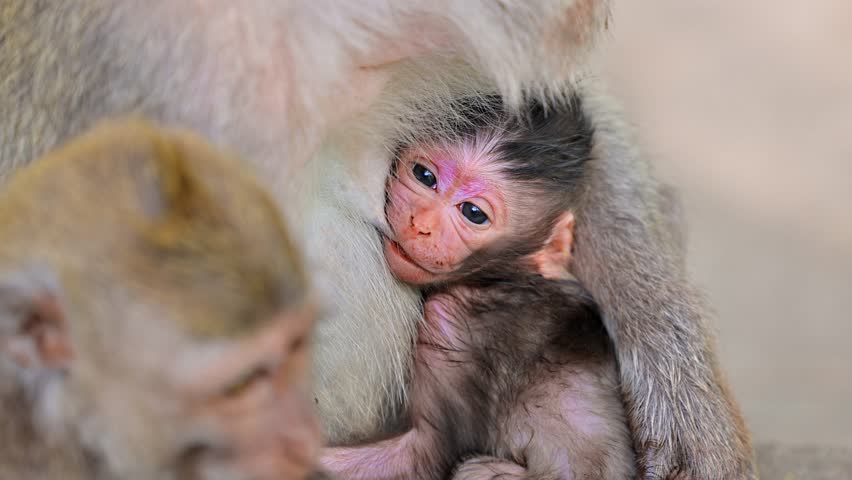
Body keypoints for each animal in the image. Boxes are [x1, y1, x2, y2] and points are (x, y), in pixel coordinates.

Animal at [322, 97, 635, 480]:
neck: (505, 277)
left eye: (473, 213)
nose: (420, 224)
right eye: (425, 177)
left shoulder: (449, 323)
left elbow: (422, 453)